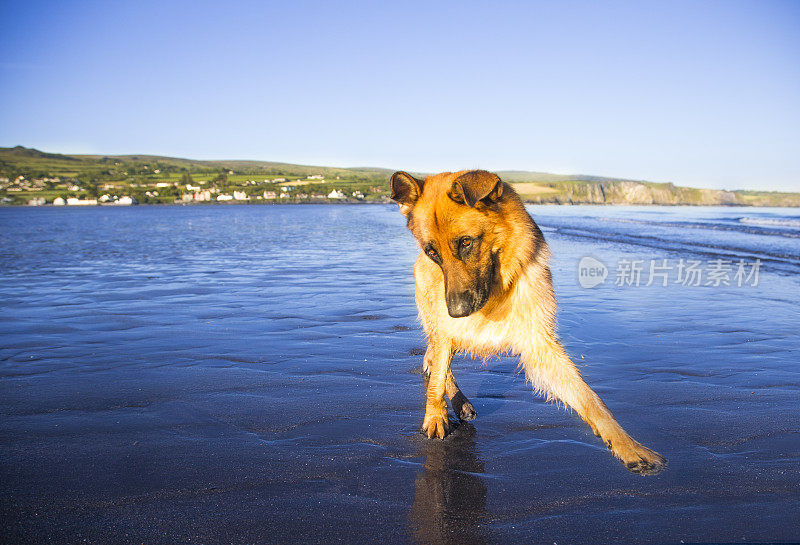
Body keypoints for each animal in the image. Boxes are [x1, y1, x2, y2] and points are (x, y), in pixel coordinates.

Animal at [390, 169, 664, 472]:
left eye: (466, 242)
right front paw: (435, 416)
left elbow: (590, 398)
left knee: (429, 357)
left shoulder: (540, 344)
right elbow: (438, 375)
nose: (457, 312)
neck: (497, 290)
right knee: (433, 360)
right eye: (432, 252)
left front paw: (628, 446)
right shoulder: (445, 331)